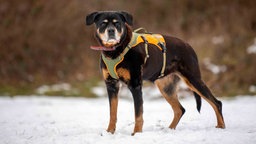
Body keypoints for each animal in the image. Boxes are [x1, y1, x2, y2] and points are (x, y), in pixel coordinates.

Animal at [85, 10, 224, 135]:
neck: (116, 50)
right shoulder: (111, 85)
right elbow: (112, 113)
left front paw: (136, 133)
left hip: (193, 79)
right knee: (180, 109)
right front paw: (109, 132)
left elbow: (138, 114)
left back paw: (221, 126)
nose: (111, 31)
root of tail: (188, 46)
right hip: (166, 87)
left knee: (217, 103)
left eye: (117, 23)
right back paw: (169, 130)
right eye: (103, 24)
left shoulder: (135, 85)